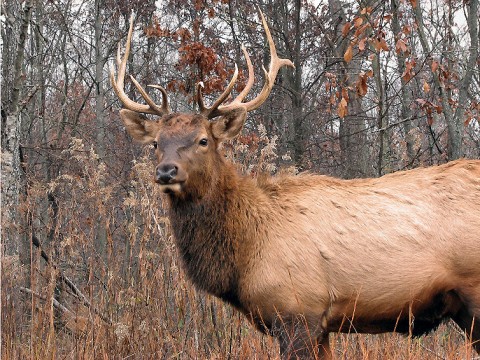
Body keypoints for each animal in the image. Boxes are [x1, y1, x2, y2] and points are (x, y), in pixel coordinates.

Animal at [112, 11, 480, 360]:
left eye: (203, 140)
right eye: (156, 143)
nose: (166, 171)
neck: (246, 252)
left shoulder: (297, 310)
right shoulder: (320, 325)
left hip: (474, 294)